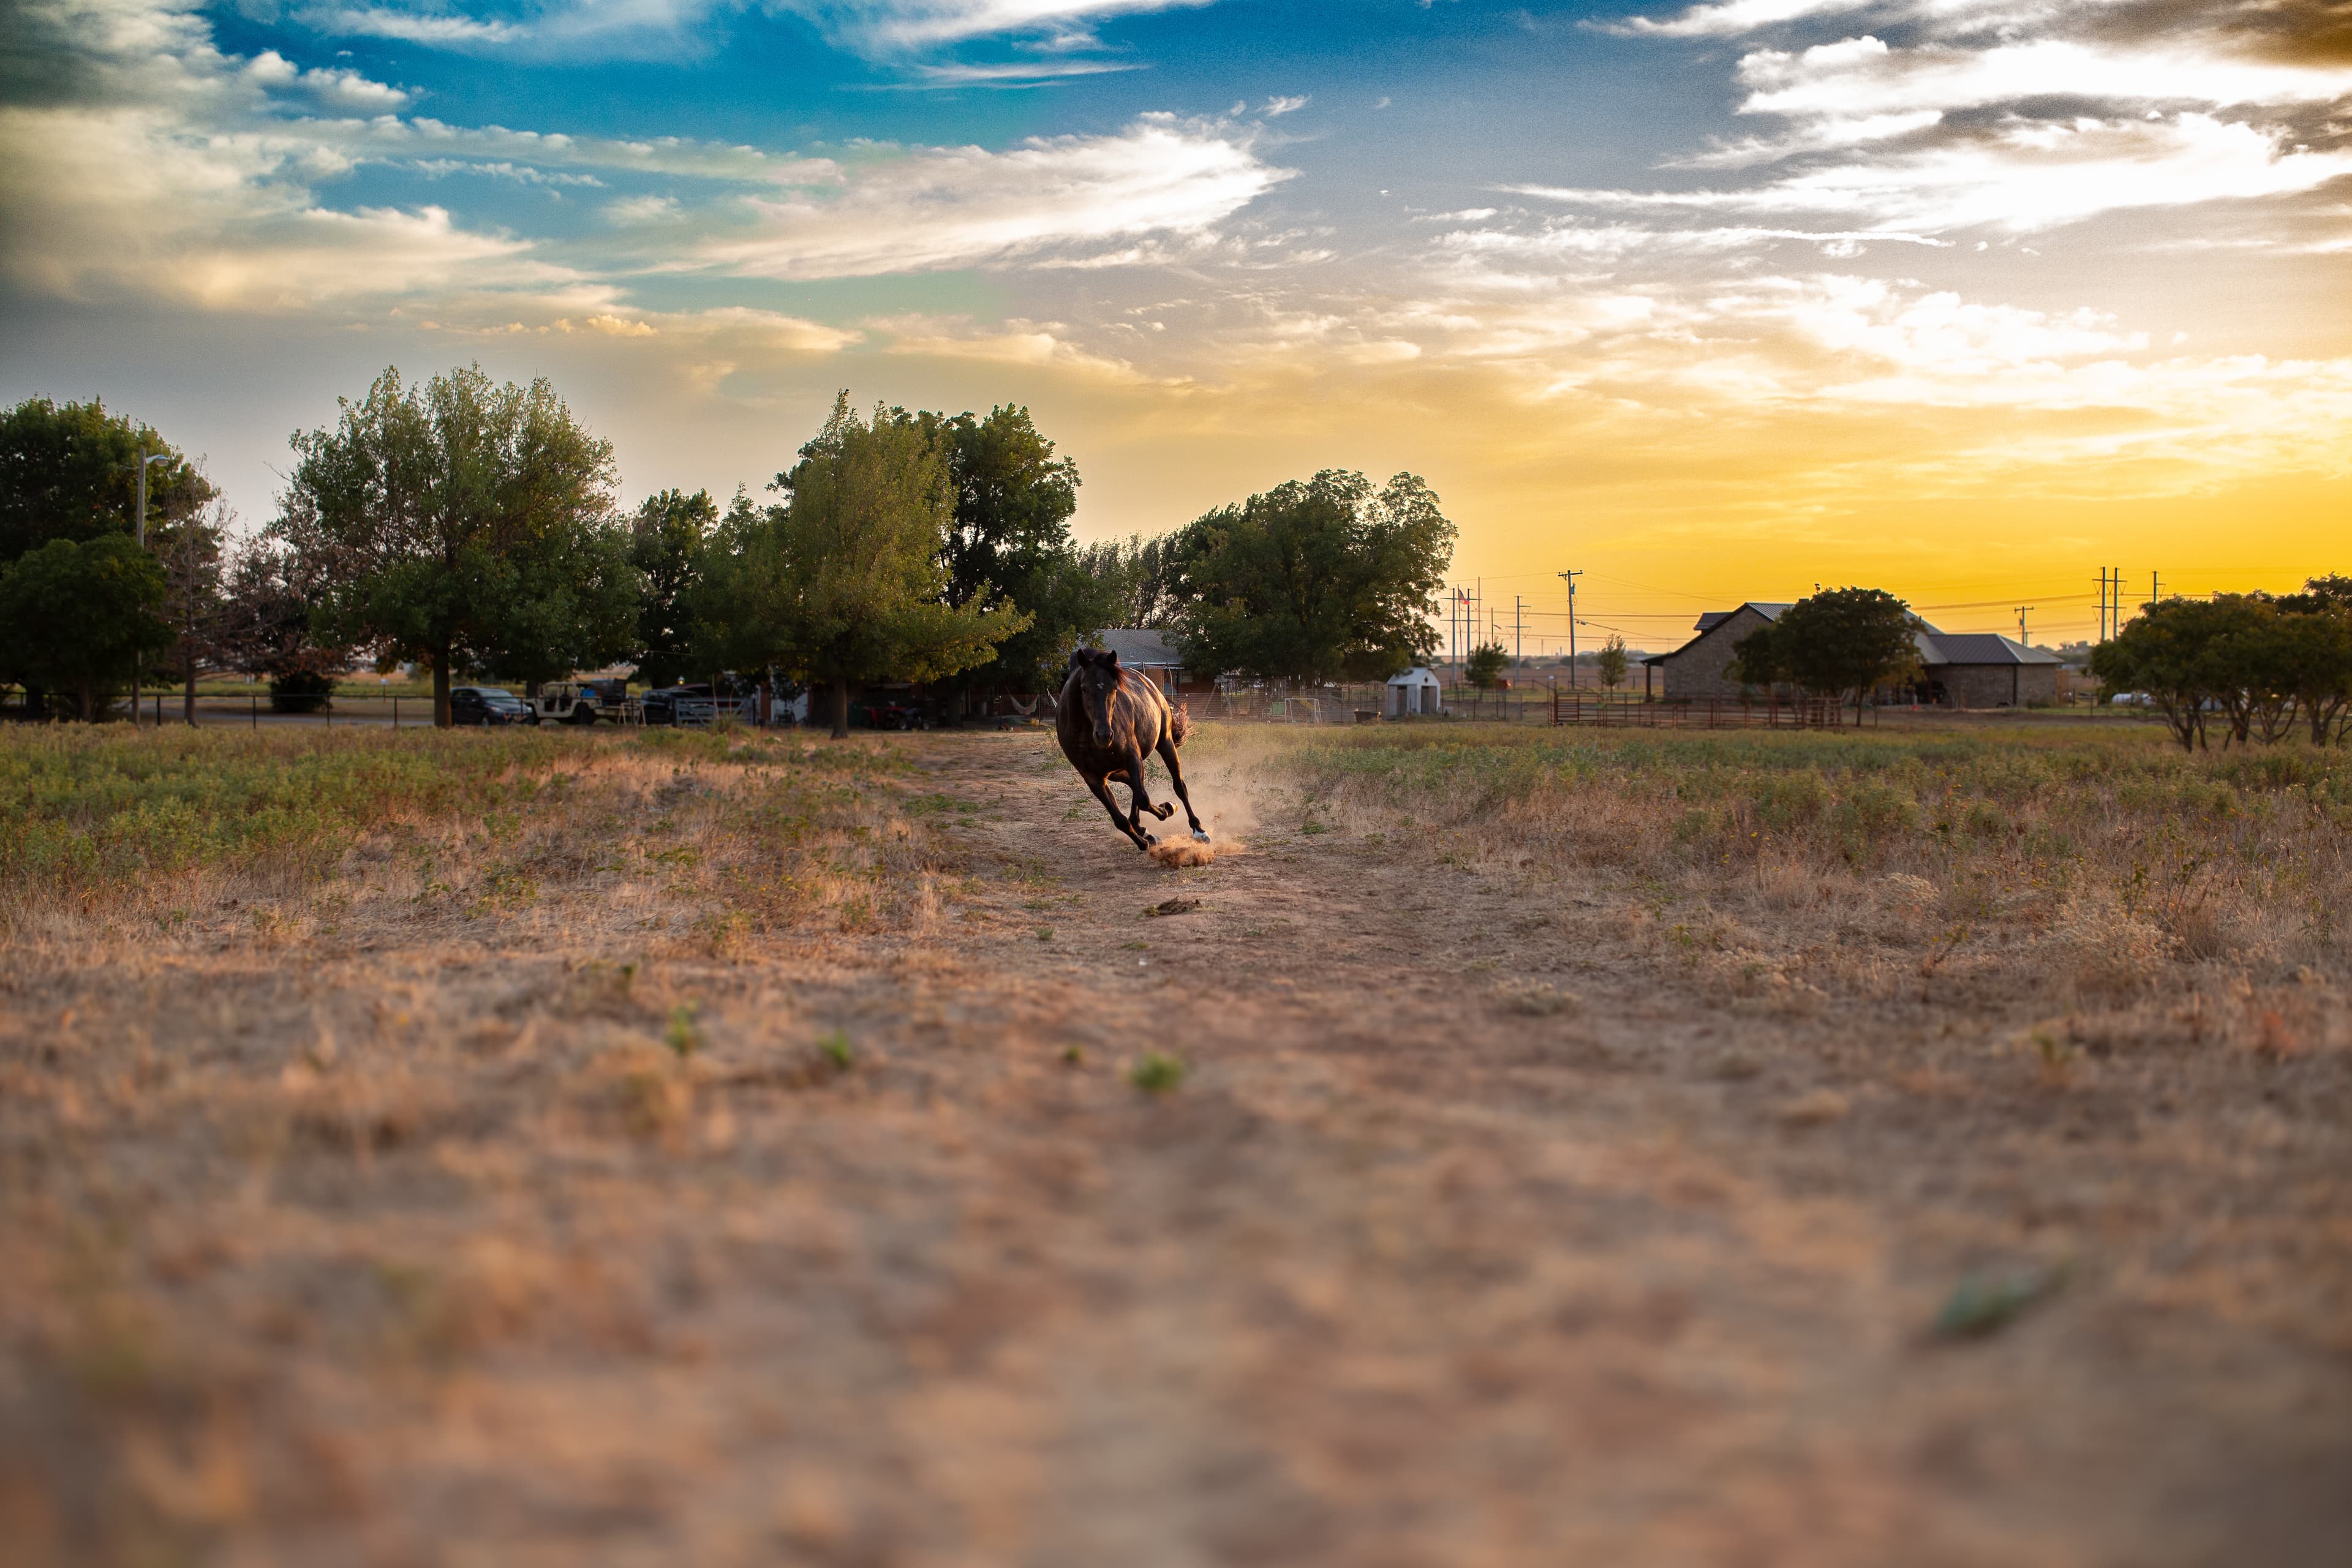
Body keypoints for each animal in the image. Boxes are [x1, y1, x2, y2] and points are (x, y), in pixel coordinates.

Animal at [1056, 648, 1210, 853]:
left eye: (1114, 688)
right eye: (1084, 688)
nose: (1104, 735)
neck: (1085, 735)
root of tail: (1151, 685)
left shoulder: (1132, 758)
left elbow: (1143, 799)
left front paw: (1168, 808)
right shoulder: (1094, 779)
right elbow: (1120, 819)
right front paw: (1143, 840)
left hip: (1165, 744)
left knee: (1178, 787)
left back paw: (1198, 830)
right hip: (1116, 772)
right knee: (1137, 788)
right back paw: (1143, 830)